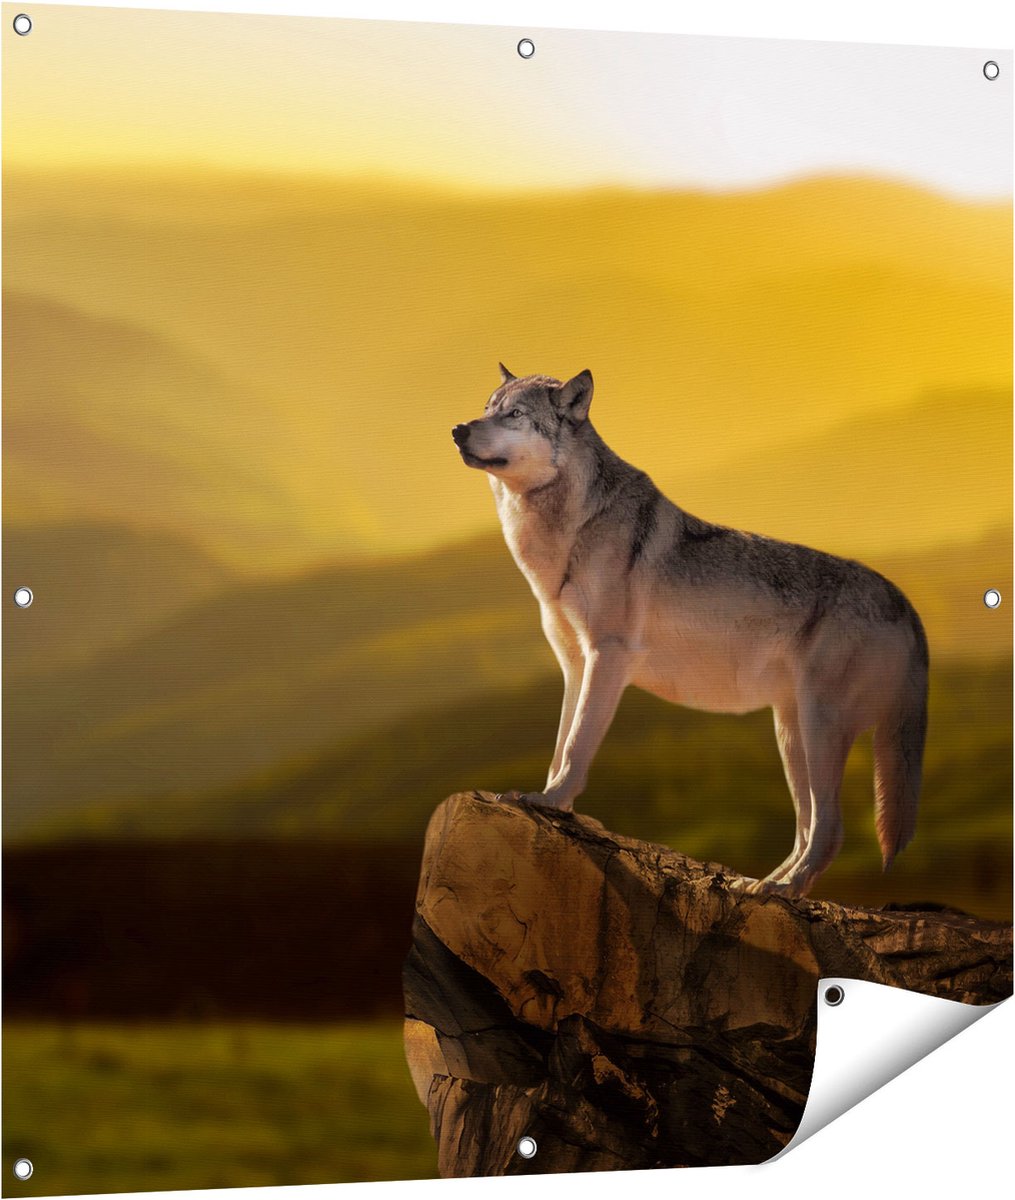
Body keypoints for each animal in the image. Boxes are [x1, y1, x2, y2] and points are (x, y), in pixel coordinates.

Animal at [451, 365, 929, 896]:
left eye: (515, 414)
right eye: (488, 408)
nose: (458, 430)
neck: (570, 531)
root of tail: (905, 602)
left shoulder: (608, 657)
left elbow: (575, 747)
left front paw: (551, 802)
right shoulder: (575, 667)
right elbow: (560, 745)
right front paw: (551, 802)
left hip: (819, 727)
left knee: (830, 828)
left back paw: (782, 890)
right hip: (791, 734)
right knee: (807, 827)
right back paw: (762, 885)